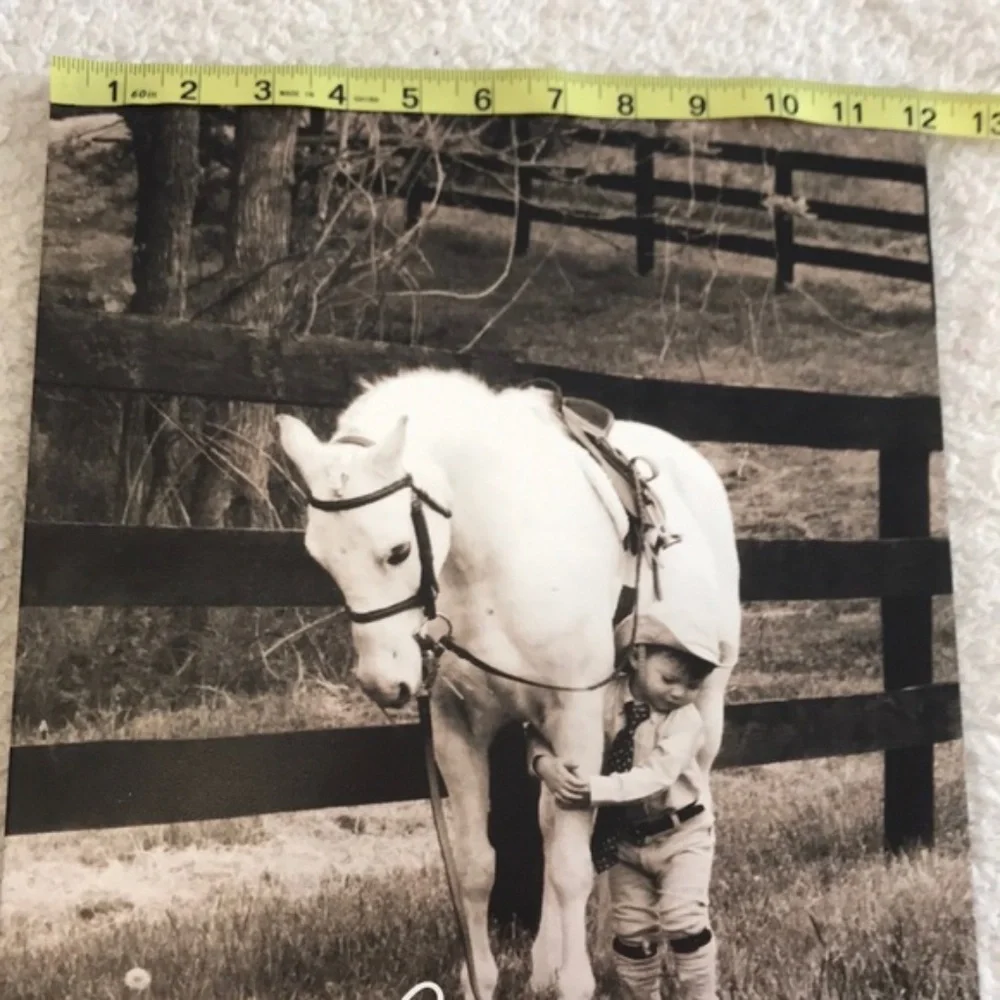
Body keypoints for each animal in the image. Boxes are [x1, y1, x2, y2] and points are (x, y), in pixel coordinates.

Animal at [276, 366, 741, 1000]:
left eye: (397, 550)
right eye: (320, 558)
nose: (384, 682)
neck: (496, 555)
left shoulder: (574, 718)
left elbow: (571, 869)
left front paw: (576, 983)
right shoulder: (457, 729)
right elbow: (476, 866)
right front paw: (483, 978)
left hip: (703, 711)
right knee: (550, 823)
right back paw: (549, 960)